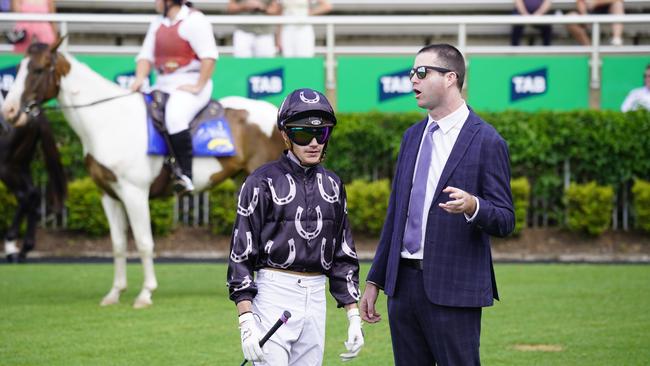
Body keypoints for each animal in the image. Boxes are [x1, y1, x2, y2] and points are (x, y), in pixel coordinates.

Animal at [1, 40, 284, 308]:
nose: (10, 112)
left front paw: (145, 293)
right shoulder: (109, 195)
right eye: (18, 69)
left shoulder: (134, 194)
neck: (109, 120)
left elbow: (144, 242)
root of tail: (276, 113)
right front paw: (115, 293)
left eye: (38, 69)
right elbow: (118, 245)